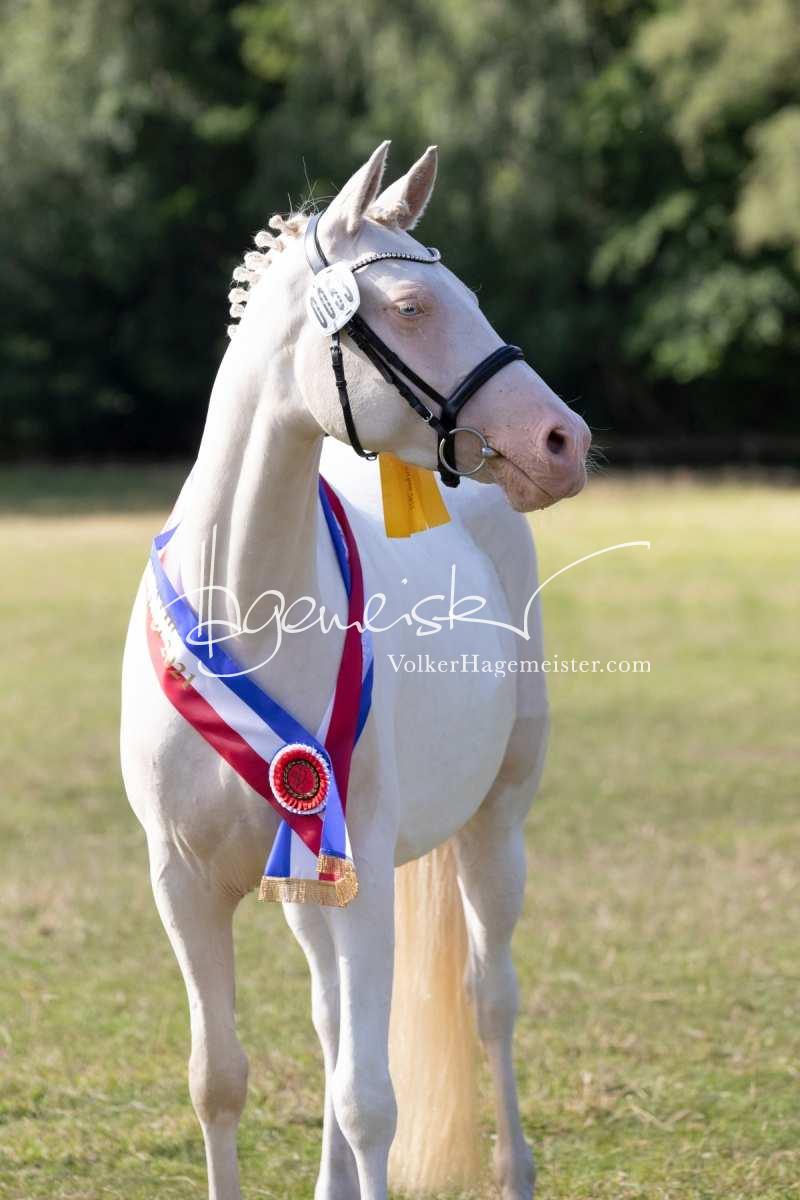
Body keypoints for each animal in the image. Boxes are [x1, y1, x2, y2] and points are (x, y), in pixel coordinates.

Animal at [120, 141, 590, 1200]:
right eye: (412, 305)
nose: (564, 441)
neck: (246, 605)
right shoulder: (185, 886)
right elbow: (220, 1079)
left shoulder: (367, 869)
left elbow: (371, 1098)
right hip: (310, 883)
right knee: (333, 1018)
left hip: (496, 828)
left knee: (489, 999)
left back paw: (515, 1169)